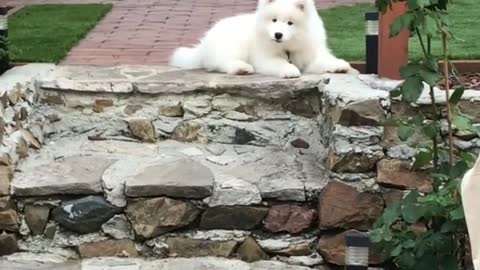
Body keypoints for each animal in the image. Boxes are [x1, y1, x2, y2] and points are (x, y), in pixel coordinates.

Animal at [169, 0, 356, 78]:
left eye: (290, 23)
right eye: (274, 20)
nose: (278, 35)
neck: (288, 47)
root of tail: (203, 44)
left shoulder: (309, 53)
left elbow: (322, 60)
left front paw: (339, 66)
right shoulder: (265, 58)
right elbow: (280, 63)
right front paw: (290, 70)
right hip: (234, 46)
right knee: (222, 62)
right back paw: (242, 68)